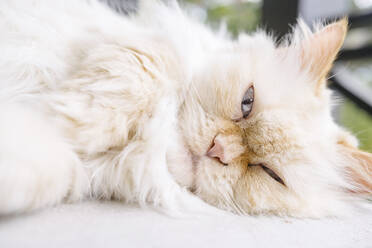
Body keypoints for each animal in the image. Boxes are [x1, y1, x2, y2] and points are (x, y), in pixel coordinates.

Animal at [0, 0, 372, 217]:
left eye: (270, 173)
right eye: (247, 103)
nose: (218, 149)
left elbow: (50, 167)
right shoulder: (135, 39)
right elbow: (153, 61)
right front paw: (76, 120)